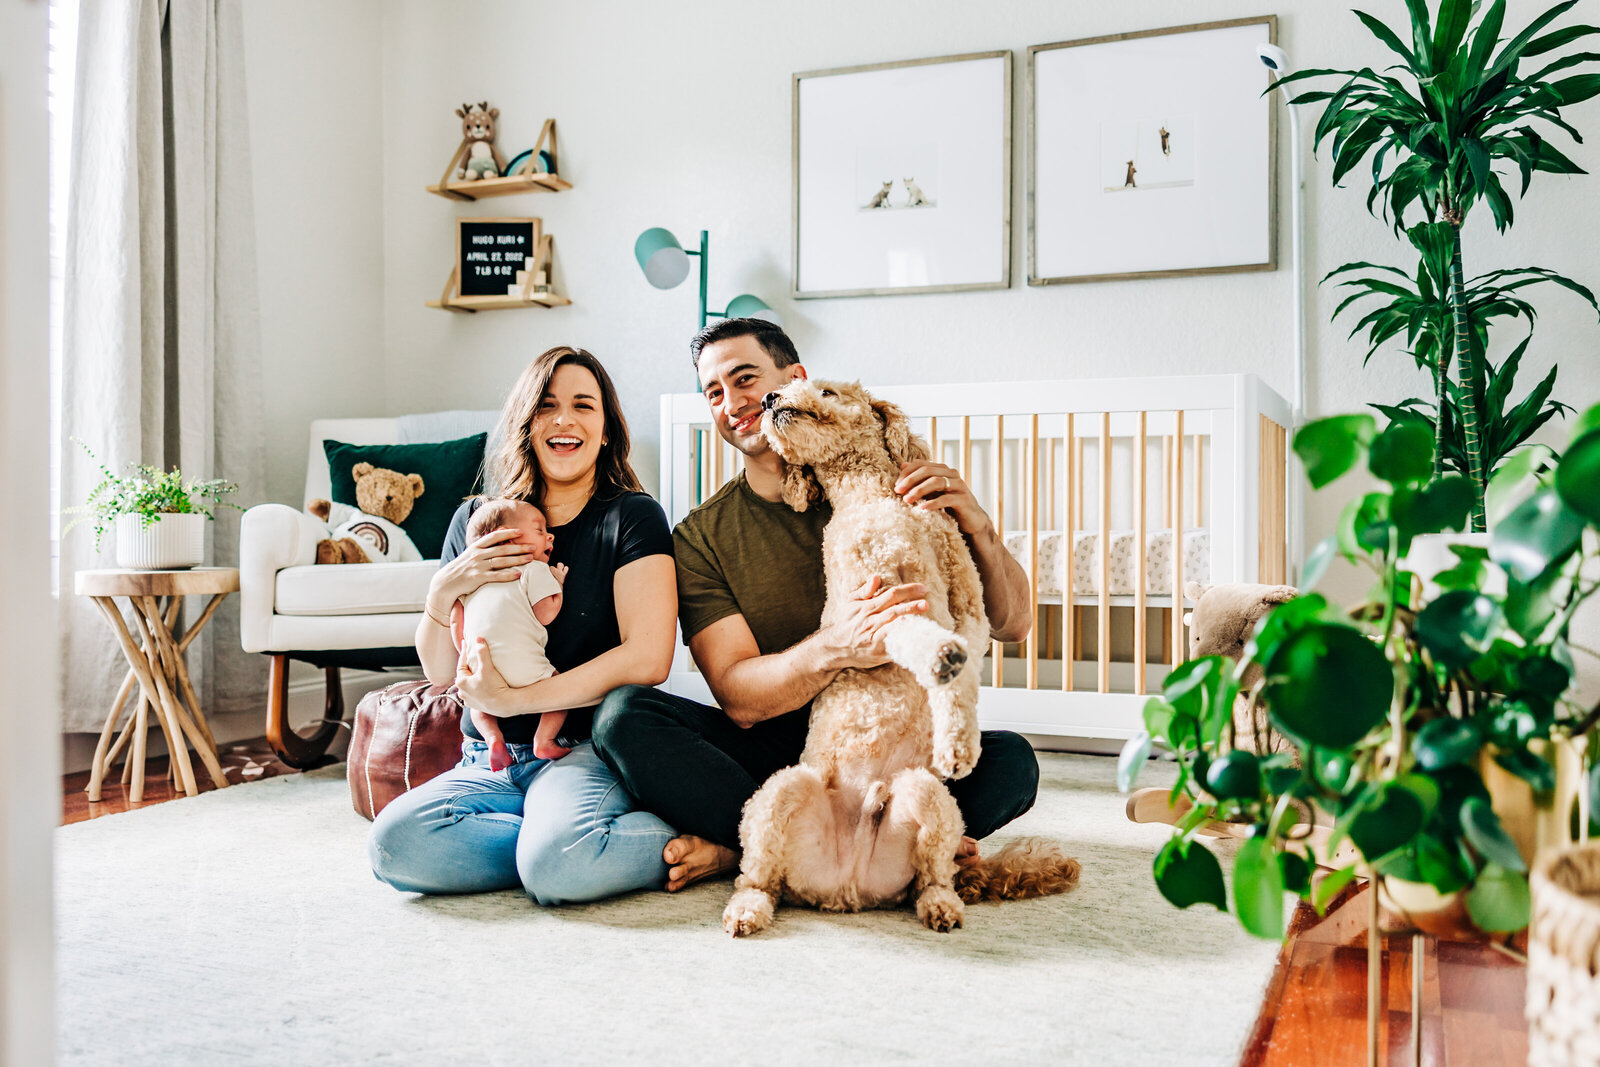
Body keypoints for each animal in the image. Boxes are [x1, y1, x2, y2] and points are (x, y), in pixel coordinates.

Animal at [723, 379, 1075, 940]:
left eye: (826, 389)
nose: (772, 397)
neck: (875, 496)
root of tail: (845, 893)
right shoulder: (880, 604)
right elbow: (920, 638)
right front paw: (941, 661)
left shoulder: (968, 600)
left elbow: (964, 674)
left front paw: (958, 744)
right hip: (779, 793)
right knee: (760, 877)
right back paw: (747, 910)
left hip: (927, 797)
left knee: (932, 876)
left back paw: (941, 905)